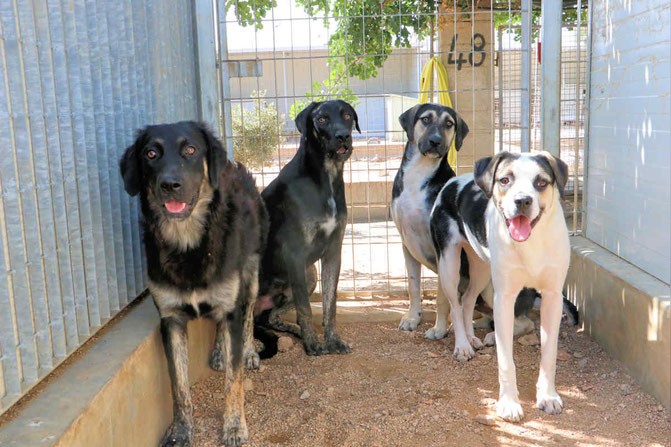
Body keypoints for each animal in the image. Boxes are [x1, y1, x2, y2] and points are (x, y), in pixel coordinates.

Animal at [121, 121, 268, 447]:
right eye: (151, 153)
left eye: (189, 150)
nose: (169, 184)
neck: (187, 243)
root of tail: (233, 165)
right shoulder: (171, 319)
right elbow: (179, 386)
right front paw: (180, 431)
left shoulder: (232, 303)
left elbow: (234, 380)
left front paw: (234, 427)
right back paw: (219, 351)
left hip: (251, 272)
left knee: (248, 314)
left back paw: (248, 350)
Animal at [392, 102, 470, 340]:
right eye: (425, 119)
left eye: (449, 123)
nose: (436, 141)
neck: (420, 172)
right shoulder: (406, 244)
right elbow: (413, 285)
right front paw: (413, 318)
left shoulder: (442, 248)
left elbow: (441, 296)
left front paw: (439, 328)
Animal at [430, 151, 572, 424]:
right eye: (505, 180)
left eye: (541, 182)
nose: (523, 200)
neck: (531, 243)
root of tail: (454, 181)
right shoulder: (504, 298)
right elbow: (506, 361)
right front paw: (509, 404)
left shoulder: (552, 297)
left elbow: (549, 355)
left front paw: (548, 396)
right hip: (449, 264)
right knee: (455, 304)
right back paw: (462, 345)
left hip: (481, 268)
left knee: (467, 300)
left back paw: (472, 337)